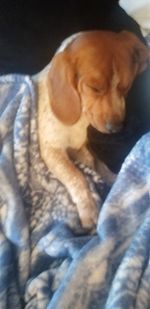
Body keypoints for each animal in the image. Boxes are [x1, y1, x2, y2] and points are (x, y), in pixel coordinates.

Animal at [33, 30, 149, 229]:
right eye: (94, 87)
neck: (80, 120)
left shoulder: (84, 148)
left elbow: (96, 165)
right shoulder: (51, 150)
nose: (116, 128)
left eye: (125, 87)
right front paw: (88, 208)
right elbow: (76, 176)